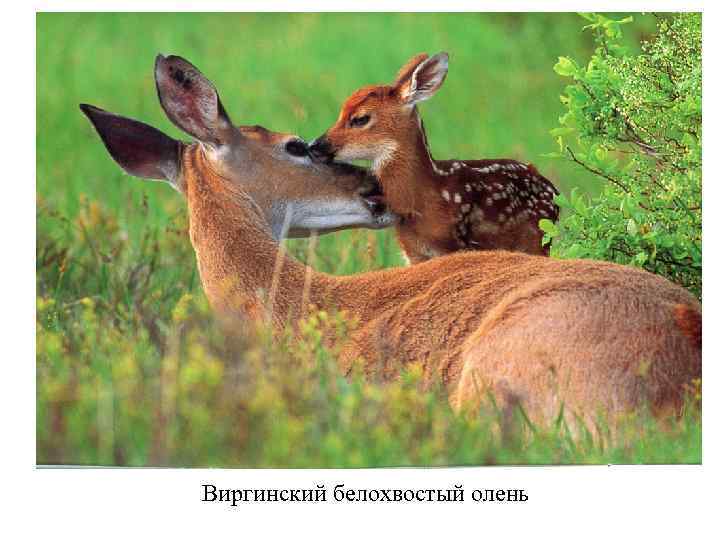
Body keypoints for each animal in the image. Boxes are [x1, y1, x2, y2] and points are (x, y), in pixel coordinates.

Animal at [309, 52, 561, 264]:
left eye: (360, 118)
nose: (315, 145)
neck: (425, 197)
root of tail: (554, 192)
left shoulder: (458, 244)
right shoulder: (413, 252)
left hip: (538, 239)